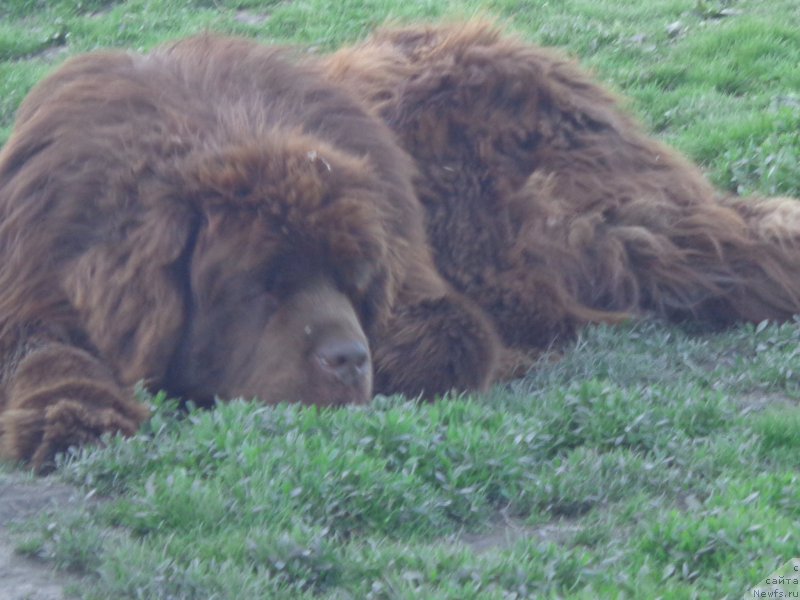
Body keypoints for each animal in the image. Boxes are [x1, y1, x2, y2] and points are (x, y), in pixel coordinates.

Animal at [1, 22, 800, 468]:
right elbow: (44, 351)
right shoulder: (34, 275)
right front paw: (70, 414)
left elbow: (452, 337)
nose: (347, 359)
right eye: (261, 285)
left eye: (351, 278)